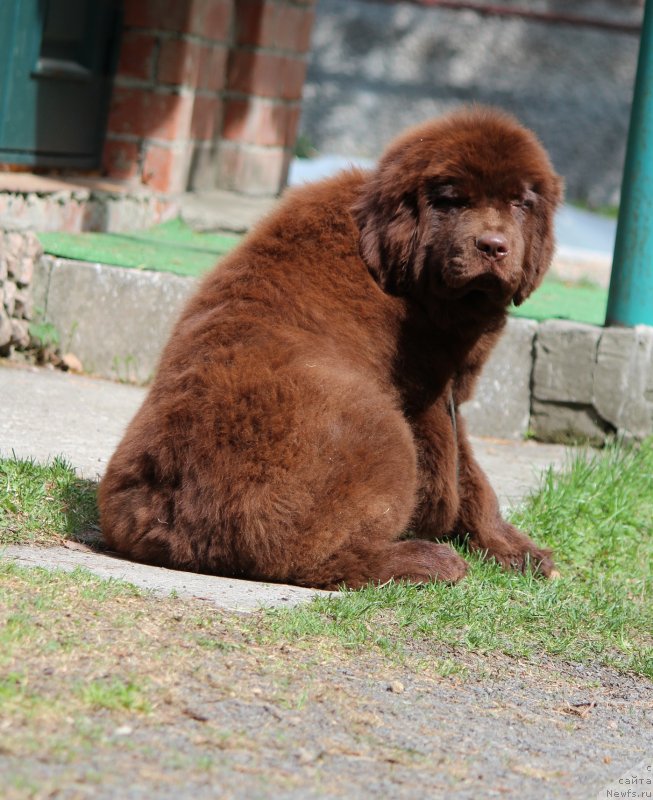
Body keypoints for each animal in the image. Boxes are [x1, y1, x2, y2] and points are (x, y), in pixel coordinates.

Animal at [99, 106, 564, 592]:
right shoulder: (429, 392)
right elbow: (460, 469)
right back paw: (428, 562)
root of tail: (177, 523)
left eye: (520, 204)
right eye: (453, 201)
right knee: (312, 558)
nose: (493, 246)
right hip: (379, 430)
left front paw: (516, 551)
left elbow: (471, 474)